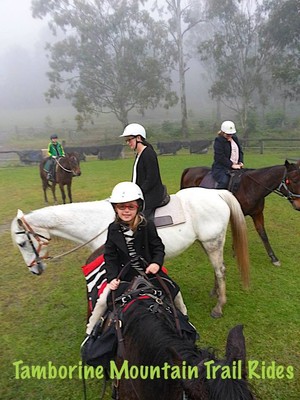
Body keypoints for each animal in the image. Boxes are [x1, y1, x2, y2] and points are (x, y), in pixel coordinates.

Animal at [10, 187, 250, 316]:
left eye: (22, 243)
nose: (34, 270)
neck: (98, 222)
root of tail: (216, 194)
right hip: (207, 243)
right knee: (217, 269)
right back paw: (215, 292)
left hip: (212, 242)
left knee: (220, 270)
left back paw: (219, 306)